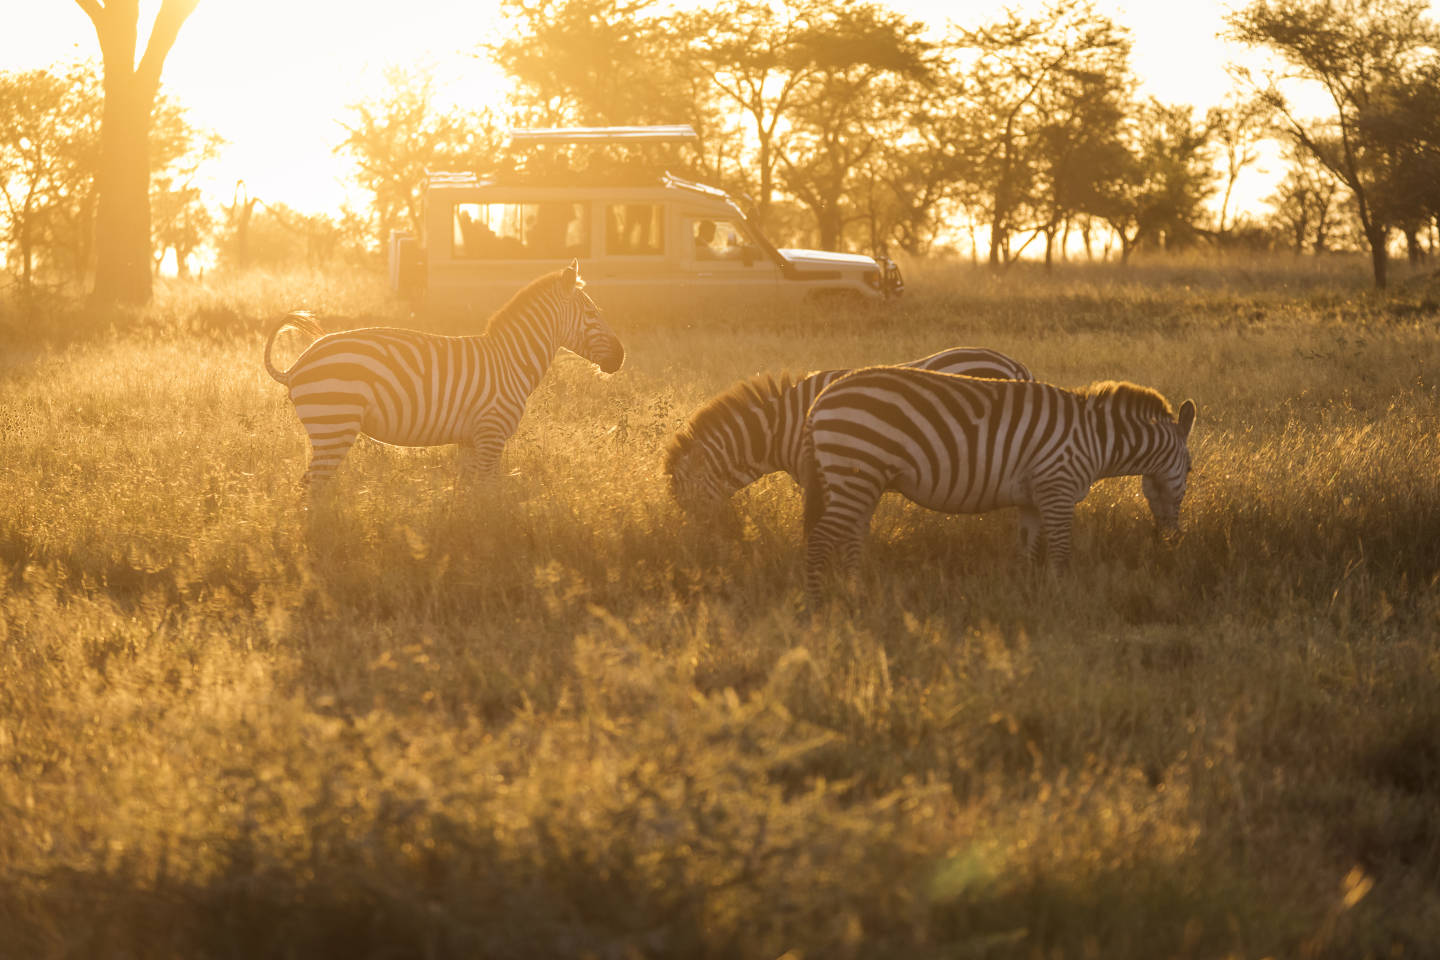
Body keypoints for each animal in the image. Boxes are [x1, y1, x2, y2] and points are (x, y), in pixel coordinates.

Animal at [262, 259, 622, 489]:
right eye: (592, 314)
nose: (621, 356)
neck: (511, 361)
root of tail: (296, 366)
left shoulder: (470, 440)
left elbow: (469, 496)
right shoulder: (491, 435)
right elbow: (489, 494)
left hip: (326, 429)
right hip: (334, 425)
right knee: (310, 489)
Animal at [800, 368, 1192, 601]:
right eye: (1190, 469)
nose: (1173, 540)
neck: (1097, 439)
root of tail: (819, 400)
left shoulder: (1033, 499)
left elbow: (1027, 549)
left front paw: (1024, 594)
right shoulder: (1058, 488)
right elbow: (1061, 551)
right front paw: (1062, 596)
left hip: (860, 480)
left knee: (851, 536)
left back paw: (855, 591)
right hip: (855, 472)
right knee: (819, 539)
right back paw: (817, 605)